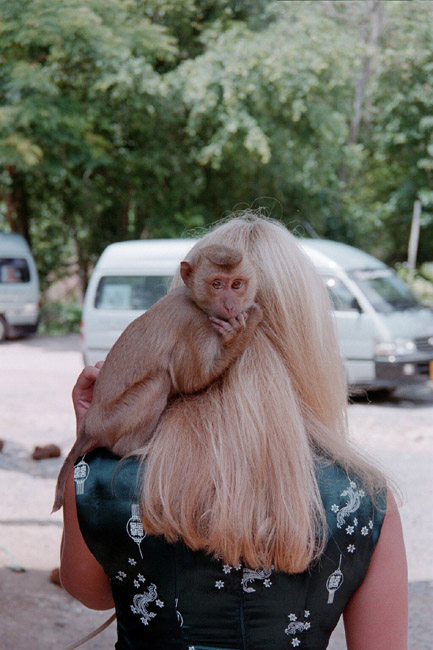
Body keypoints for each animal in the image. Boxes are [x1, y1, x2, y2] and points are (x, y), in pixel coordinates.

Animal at [53, 244, 263, 512]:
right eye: (217, 284)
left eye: (237, 284)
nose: (230, 304)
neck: (195, 301)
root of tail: (89, 425)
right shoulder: (193, 324)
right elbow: (191, 380)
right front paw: (249, 320)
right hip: (115, 420)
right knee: (158, 382)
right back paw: (134, 448)